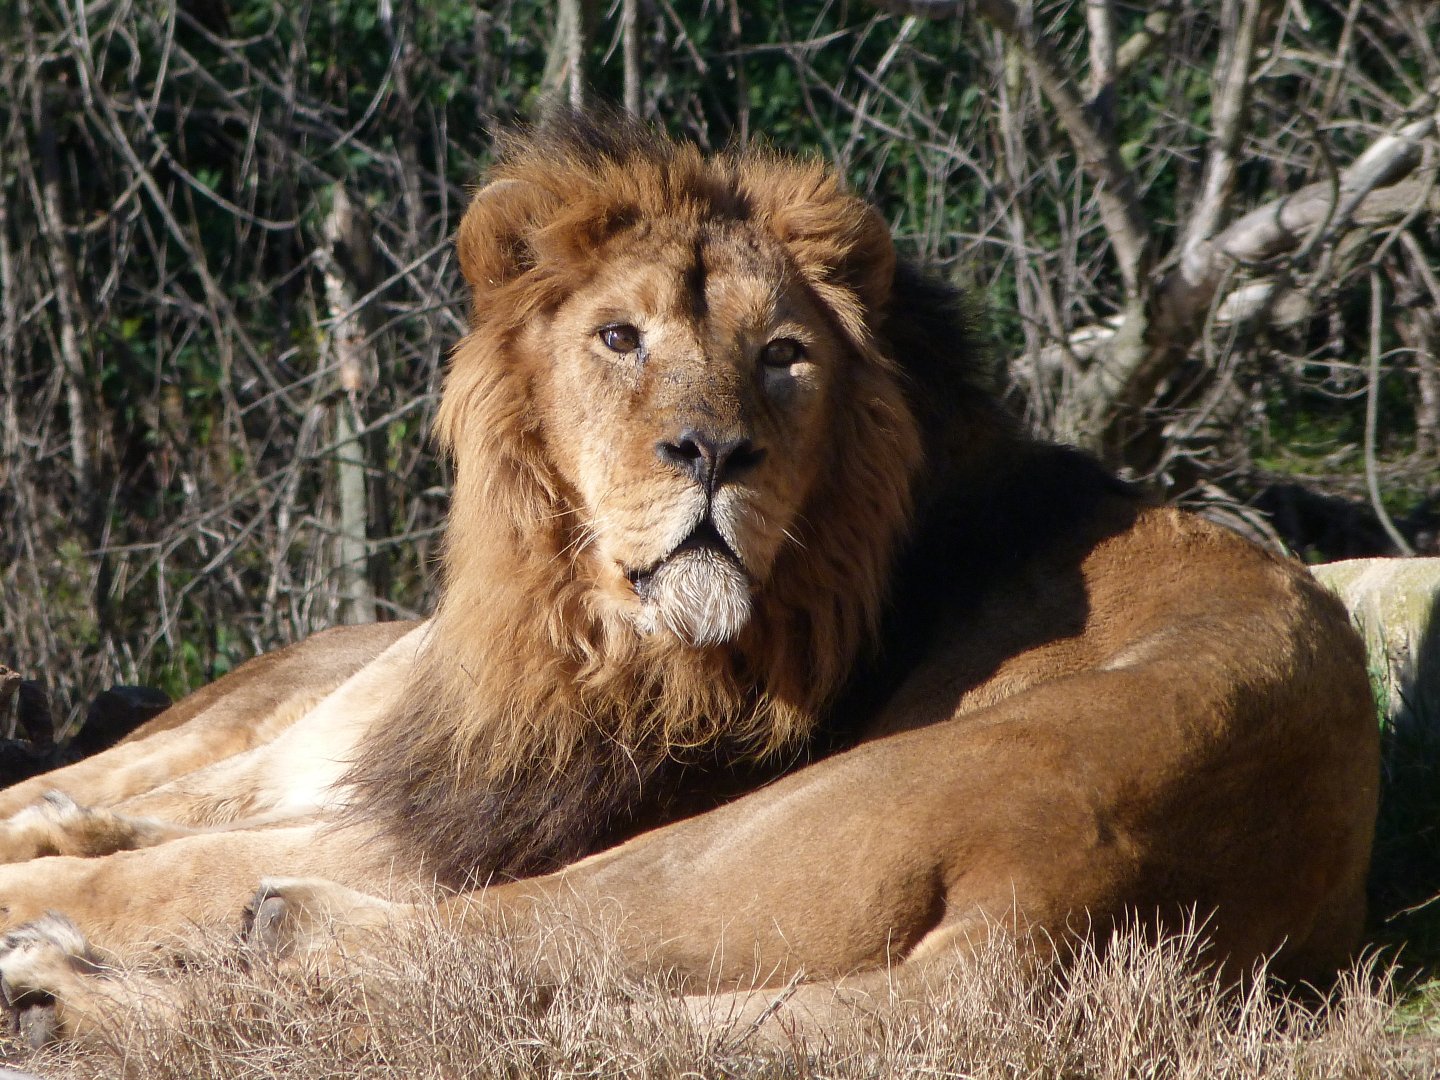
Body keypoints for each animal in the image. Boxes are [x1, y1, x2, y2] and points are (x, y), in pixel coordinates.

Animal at [0, 114, 1378, 1043]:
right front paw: (65, 818)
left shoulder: (499, 821)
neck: (573, 618)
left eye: (784, 357)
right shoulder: (412, 763)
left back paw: (76, 980)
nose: (714, 452)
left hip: (737, 840)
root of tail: (1093, 911)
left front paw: (63, 876)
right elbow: (154, 802)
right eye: (621, 337)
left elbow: (164, 866)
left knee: (452, 968)